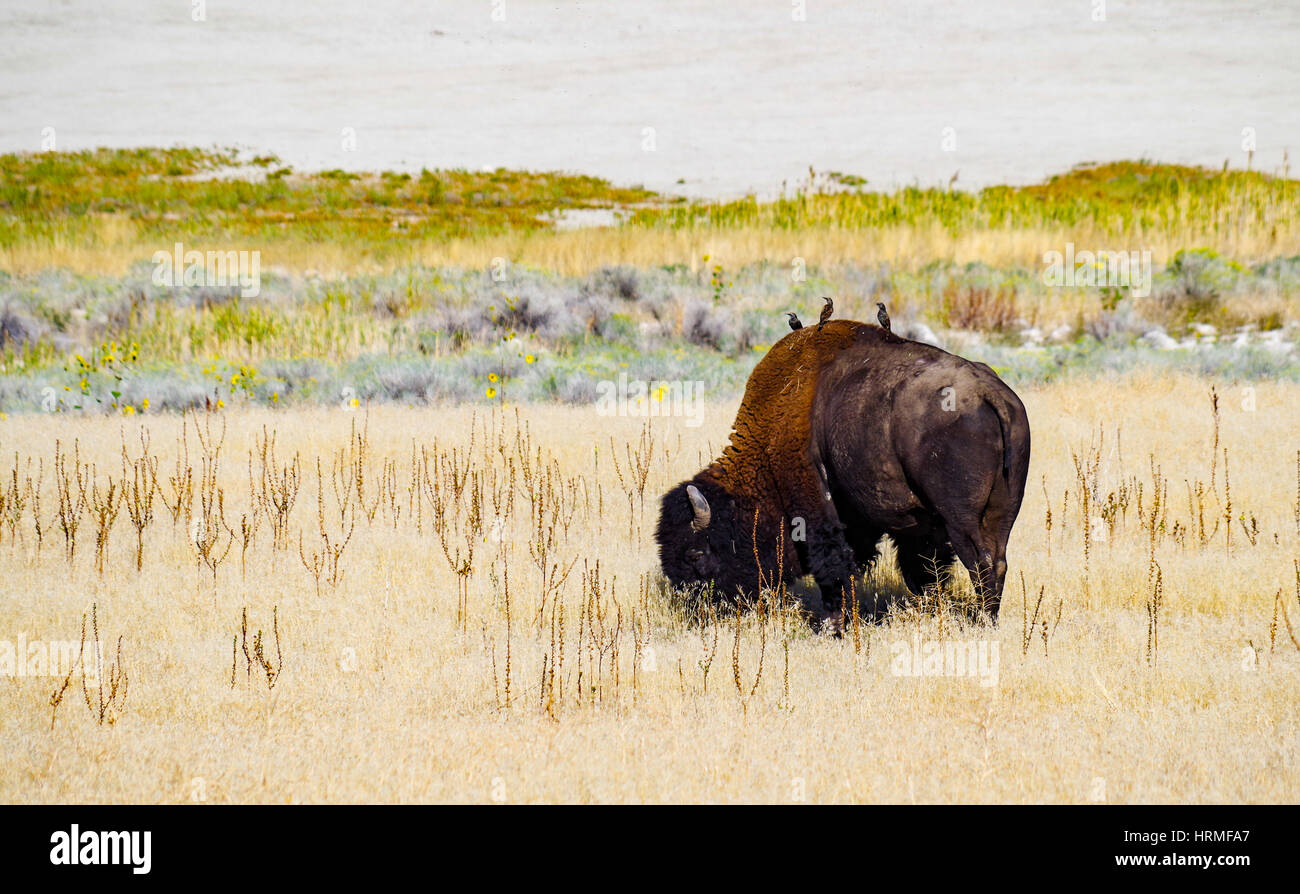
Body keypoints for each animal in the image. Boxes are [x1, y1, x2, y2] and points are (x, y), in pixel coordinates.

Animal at [655, 318, 1029, 626]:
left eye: (696, 553)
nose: (696, 608)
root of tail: (988, 393)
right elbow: (919, 569)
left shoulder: (816, 504)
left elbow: (835, 564)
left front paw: (832, 625)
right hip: (1002, 511)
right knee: (996, 560)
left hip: (961, 519)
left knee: (981, 562)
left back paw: (981, 622)